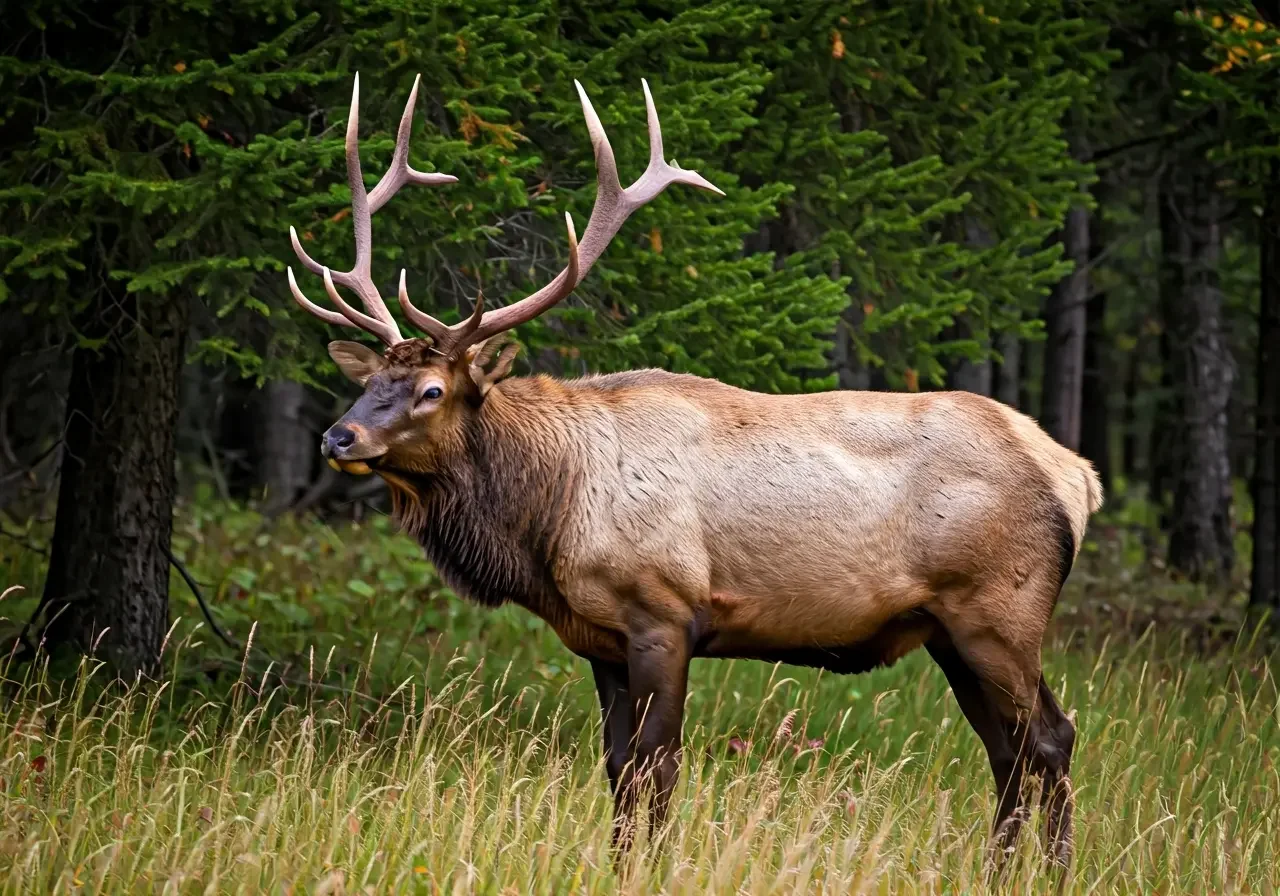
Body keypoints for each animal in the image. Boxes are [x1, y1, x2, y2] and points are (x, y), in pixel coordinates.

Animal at [286, 73, 1102, 867]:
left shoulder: (663, 612)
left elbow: (658, 765)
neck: (549, 519)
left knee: (1048, 738)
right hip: (947, 629)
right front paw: (619, 865)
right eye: (369, 381)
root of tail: (1077, 474)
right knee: (1007, 751)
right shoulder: (601, 640)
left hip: (998, 610)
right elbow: (618, 767)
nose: (337, 437)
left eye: (432, 390)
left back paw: (1055, 870)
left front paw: (649, 865)